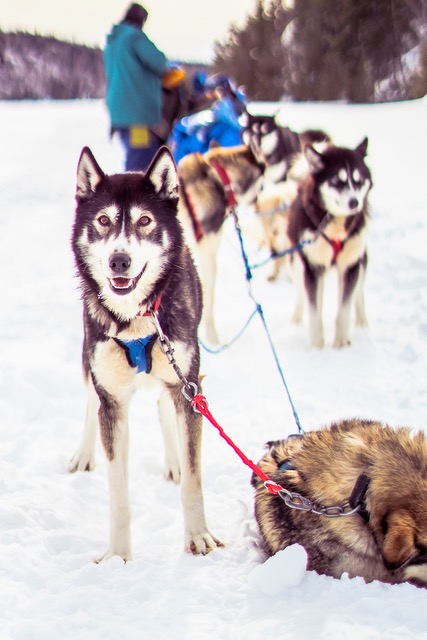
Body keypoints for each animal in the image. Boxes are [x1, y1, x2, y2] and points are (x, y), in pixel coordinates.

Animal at [69, 145, 224, 560]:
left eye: (144, 221)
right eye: (103, 220)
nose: (119, 260)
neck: (136, 320)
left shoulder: (189, 387)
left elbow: (193, 479)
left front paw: (198, 536)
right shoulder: (112, 399)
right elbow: (118, 493)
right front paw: (117, 556)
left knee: (163, 406)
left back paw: (173, 461)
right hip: (90, 363)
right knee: (89, 402)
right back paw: (84, 453)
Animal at [288, 138, 374, 348]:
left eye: (359, 181)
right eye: (337, 181)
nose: (354, 202)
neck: (336, 226)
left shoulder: (350, 265)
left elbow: (345, 307)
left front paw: (341, 342)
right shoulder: (313, 267)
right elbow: (314, 310)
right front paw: (316, 346)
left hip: (360, 260)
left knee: (359, 293)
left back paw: (362, 322)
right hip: (297, 263)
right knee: (302, 294)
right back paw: (295, 320)